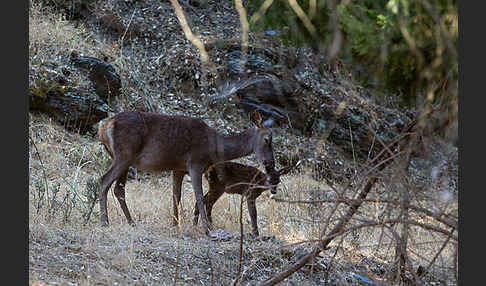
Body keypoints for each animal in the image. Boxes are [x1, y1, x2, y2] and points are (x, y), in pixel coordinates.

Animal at [94, 109, 274, 237]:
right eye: (267, 139)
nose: (270, 163)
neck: (213, 148)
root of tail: (104, 127)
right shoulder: (195, 163)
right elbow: (199, 197)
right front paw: (207, 230)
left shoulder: (179, 168)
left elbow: (176, 195)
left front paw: (175, 224)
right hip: (124, 154)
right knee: (103, 181)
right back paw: (105, 221)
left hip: (122, 158)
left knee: (118, 188)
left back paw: (131, 222)